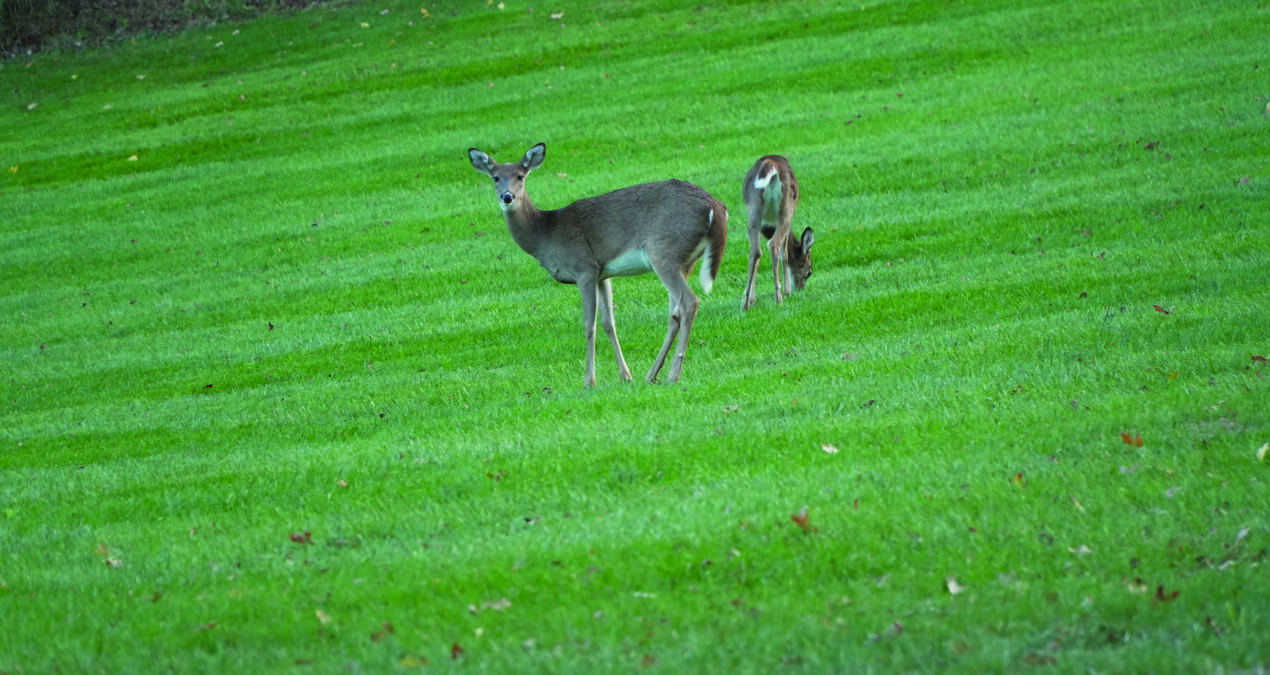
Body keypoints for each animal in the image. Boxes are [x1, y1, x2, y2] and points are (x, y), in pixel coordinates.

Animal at [467, 143, 728, 387]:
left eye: (521, 176)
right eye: (495, 177)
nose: (507, 196)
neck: (546, 233)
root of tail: (715, 207)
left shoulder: (584, 267)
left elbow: (588, 324)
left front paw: (589, 381)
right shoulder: (603, 274)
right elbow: (608, 322)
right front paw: (625, 375)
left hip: (664, 252)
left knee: (689, 302)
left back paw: (673, 375)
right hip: (683, 261)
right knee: (674, 314)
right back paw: (652, 374)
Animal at [741, 155, 814, 311]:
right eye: (809, 272)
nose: (801, 288)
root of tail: (770, 165)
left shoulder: (763, 225)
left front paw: (753, 299)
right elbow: (785, 254)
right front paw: (788, 291)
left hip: (753, 208)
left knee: (755, 251)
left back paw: (745, 304)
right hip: (786, 209)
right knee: (774, 244)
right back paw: (779, 298)